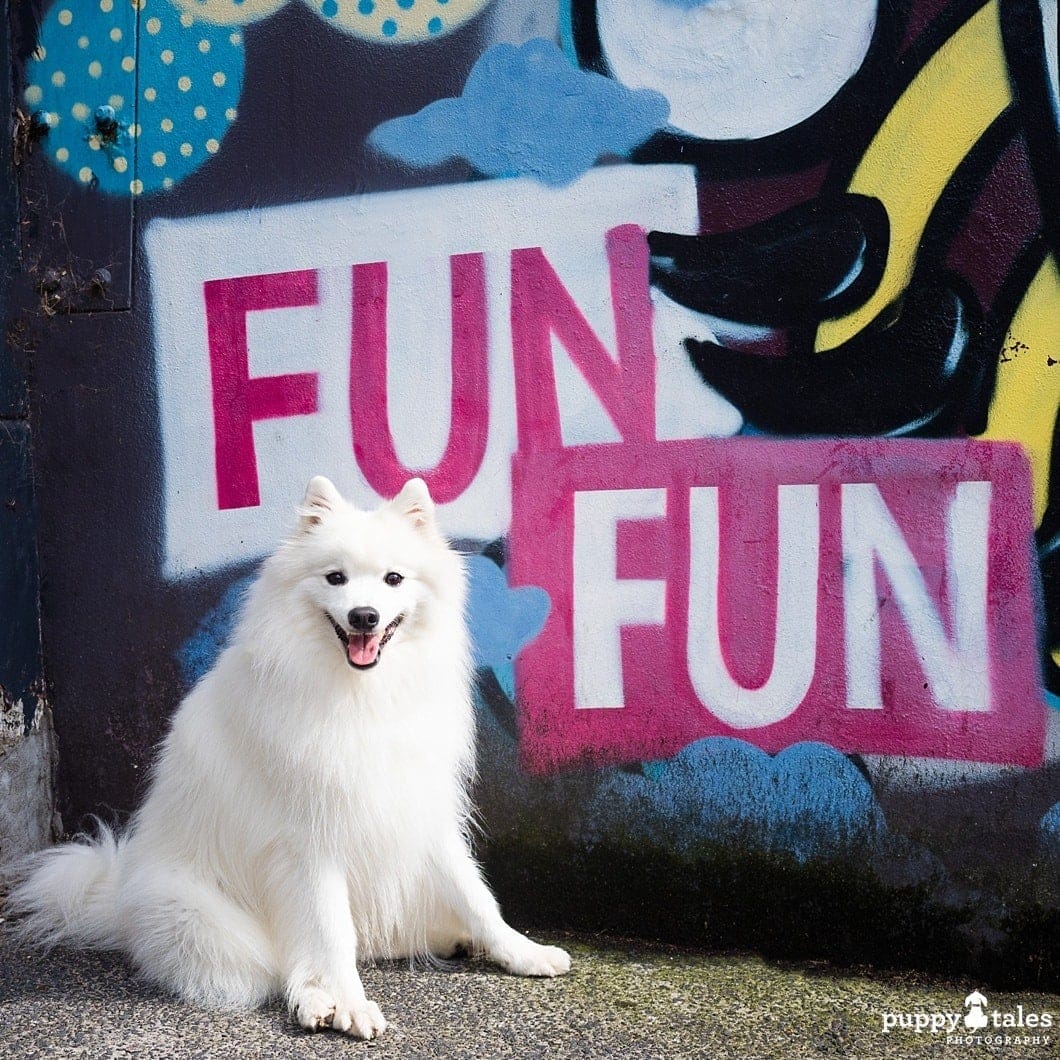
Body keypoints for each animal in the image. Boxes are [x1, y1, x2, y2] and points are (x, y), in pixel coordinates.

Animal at [8, 479, 572, 1034]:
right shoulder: (310, 844)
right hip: (208, 921)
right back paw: (314, 1000)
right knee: (278, 965)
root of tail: (117, 900)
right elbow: (330, 933)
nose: (364, 616)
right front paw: (348, 1002)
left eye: (393, 579)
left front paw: (523, 952)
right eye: (335, 578)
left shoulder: (417, 810)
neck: (360, 695)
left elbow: (475, 894)